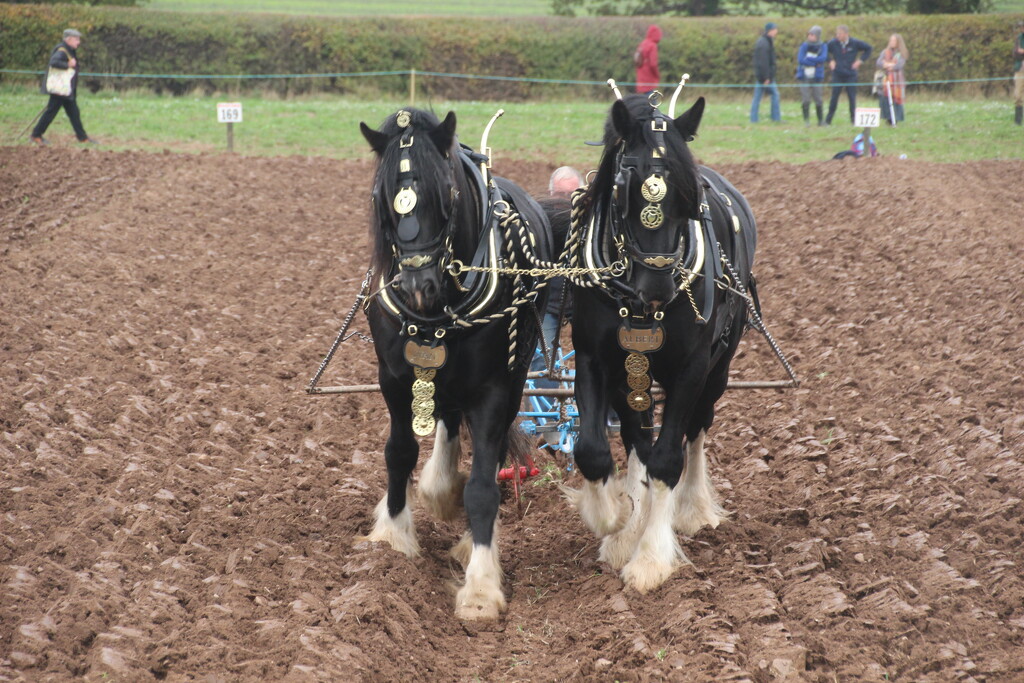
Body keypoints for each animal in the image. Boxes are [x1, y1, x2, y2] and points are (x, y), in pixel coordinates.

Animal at [357, 108, 560, 619]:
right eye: (382, 196)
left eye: (446, 193)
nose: (417, 286)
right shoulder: (394, 378)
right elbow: (399, 452)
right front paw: (392, 539)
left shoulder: (494, 388)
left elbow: (484, 486)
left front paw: (481, 587)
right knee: (447, 416)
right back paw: (440, 488)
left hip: (513, 375)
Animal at [563, 92, 758, 592]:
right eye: (624, 184)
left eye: (690, 196)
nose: (657, 285)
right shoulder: (596, 361)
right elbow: (594, 450)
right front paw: (616, 520)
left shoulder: (691, 368)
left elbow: (668, 459)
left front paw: (650, 557)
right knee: (637, 438)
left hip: (718, 370)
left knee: (696, 430)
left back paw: (693, 510)